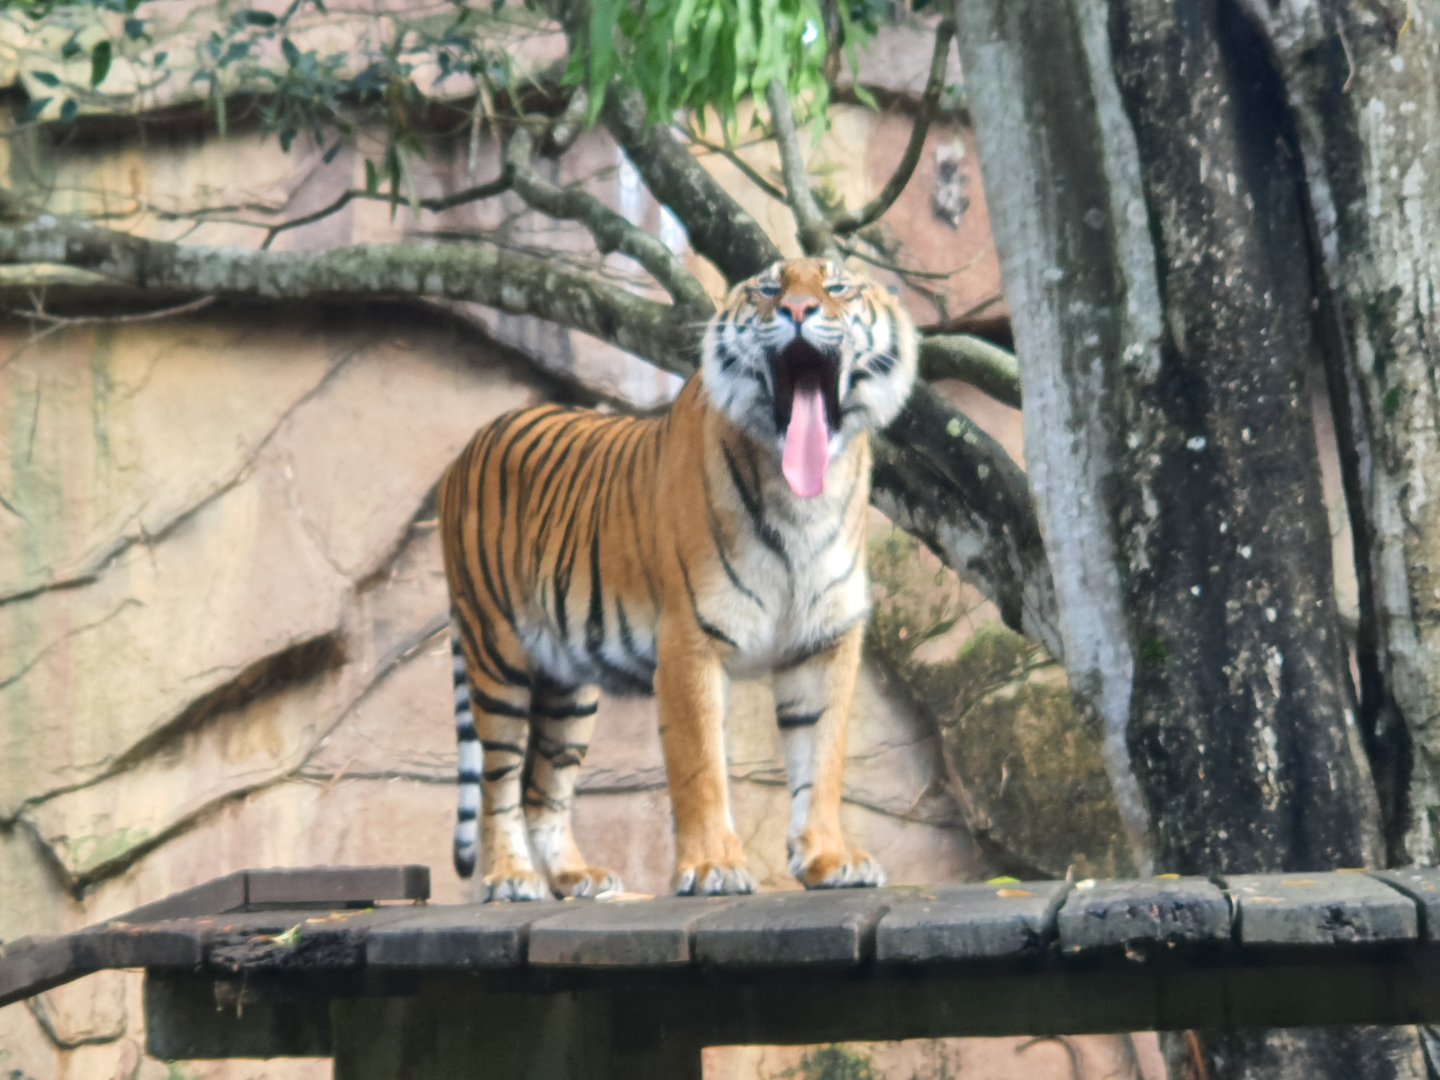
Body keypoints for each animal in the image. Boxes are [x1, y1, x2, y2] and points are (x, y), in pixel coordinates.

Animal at [438, 257, 918, 900]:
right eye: (770, 289)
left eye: (837, 286)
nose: (797, 310)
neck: (803, 501)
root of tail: (466, 449)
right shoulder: (691, 637)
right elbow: (701, 766)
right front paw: (713, 866)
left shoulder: (825, 640)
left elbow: (823, 759)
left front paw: (829, 859)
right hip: (499, 654)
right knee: (500, 783)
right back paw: (510, 878)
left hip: (568, 685)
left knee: (544, 789)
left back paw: (577, 877)